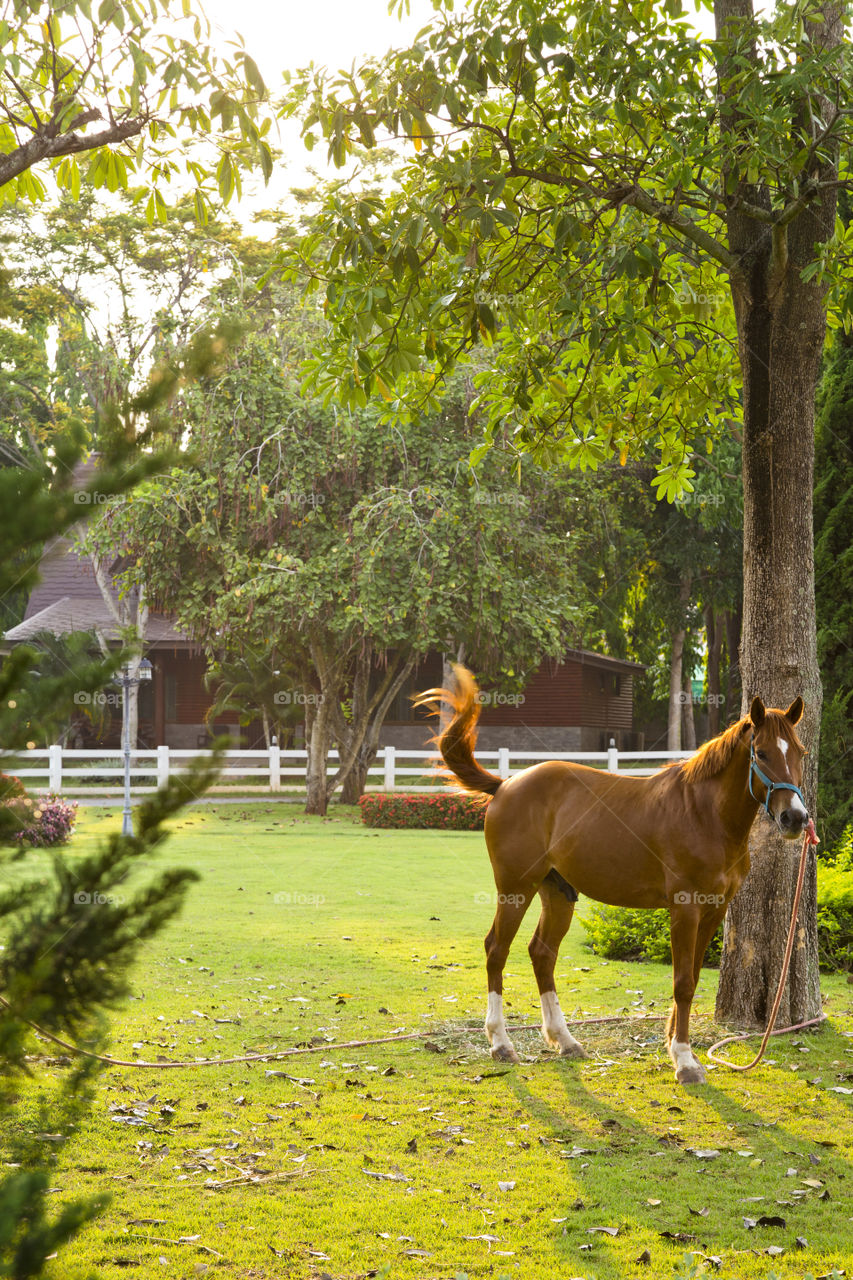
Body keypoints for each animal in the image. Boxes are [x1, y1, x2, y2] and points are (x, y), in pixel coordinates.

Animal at [414, 670, 809, 1080]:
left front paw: (674, 1044)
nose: (795, 818)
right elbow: (683, 982)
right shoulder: (685, 908)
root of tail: (505, 784)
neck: (704, 814)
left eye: (800, 753)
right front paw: (684, 1059)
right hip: (515, 888)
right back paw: (501, 1043)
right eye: (761, 753)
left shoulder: (715, 909)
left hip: (557, 892)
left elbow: (695, 976)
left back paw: (565, 1040)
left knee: (542, 953)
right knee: (497, 950)